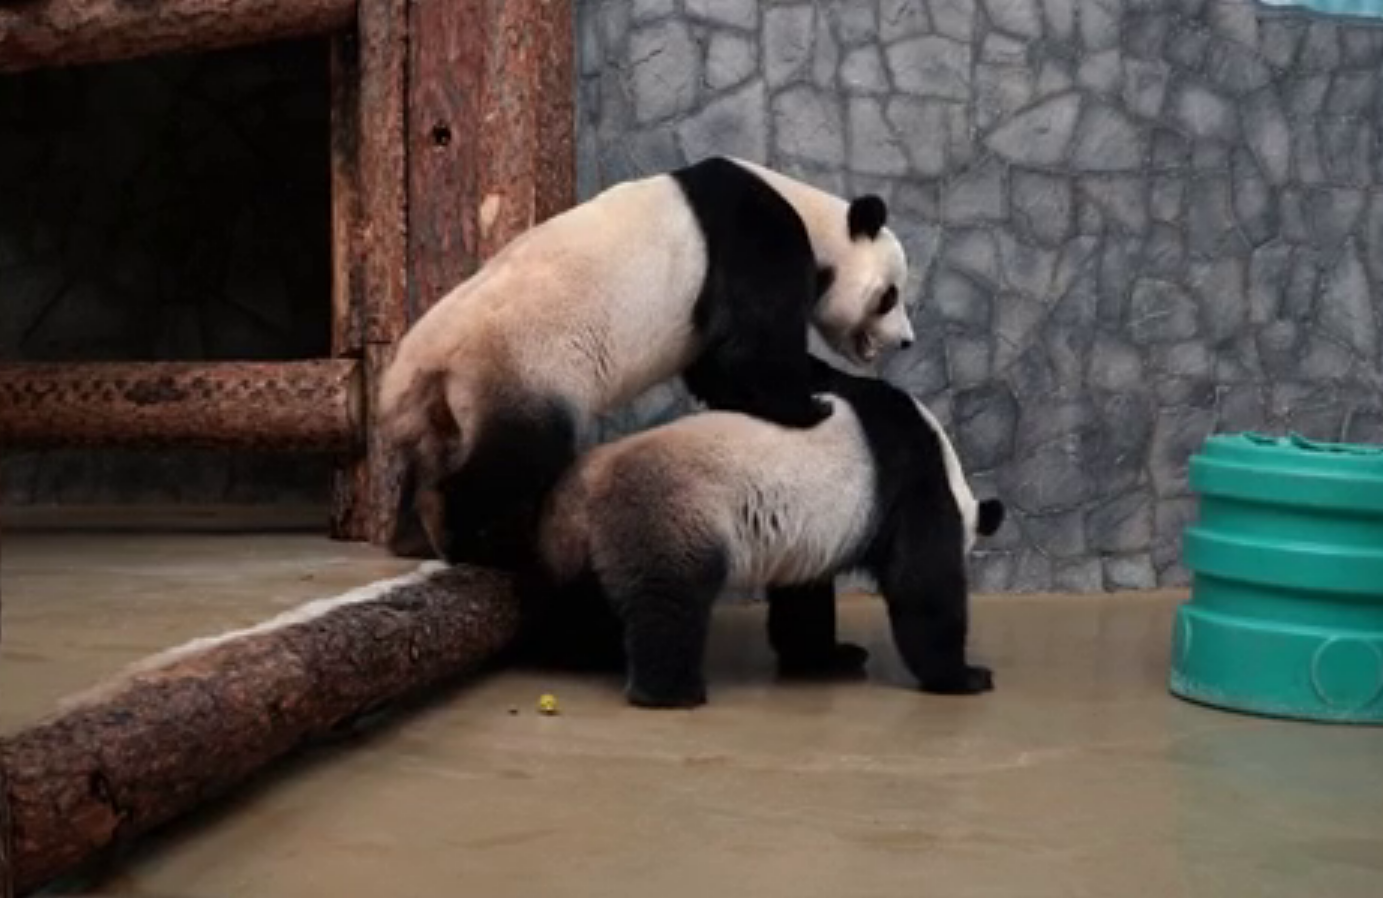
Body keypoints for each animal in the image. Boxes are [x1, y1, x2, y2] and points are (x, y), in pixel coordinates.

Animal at [378, 154, 918, 570]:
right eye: (890, 296)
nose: (907, 342)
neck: (811, 215)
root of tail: (424, 360)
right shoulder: (755, 240)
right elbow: (747, 350)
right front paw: (809, 408)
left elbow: (715, 365)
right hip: (523, 362)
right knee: (518, 452)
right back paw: (461, 536)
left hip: (449, 397)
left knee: (438, 450)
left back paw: (411, 532)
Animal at [531, 354, 1006, 708]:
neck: (942, 456)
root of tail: (582, 493)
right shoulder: (913, 485)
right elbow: (922, 583)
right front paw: (965, 677)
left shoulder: (809, 535)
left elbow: (804, 596)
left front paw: (828, 656)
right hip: (667, 515)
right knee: (669, 598)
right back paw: (672, 692)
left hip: (581, 549)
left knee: (582, 604)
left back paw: (589, 654)